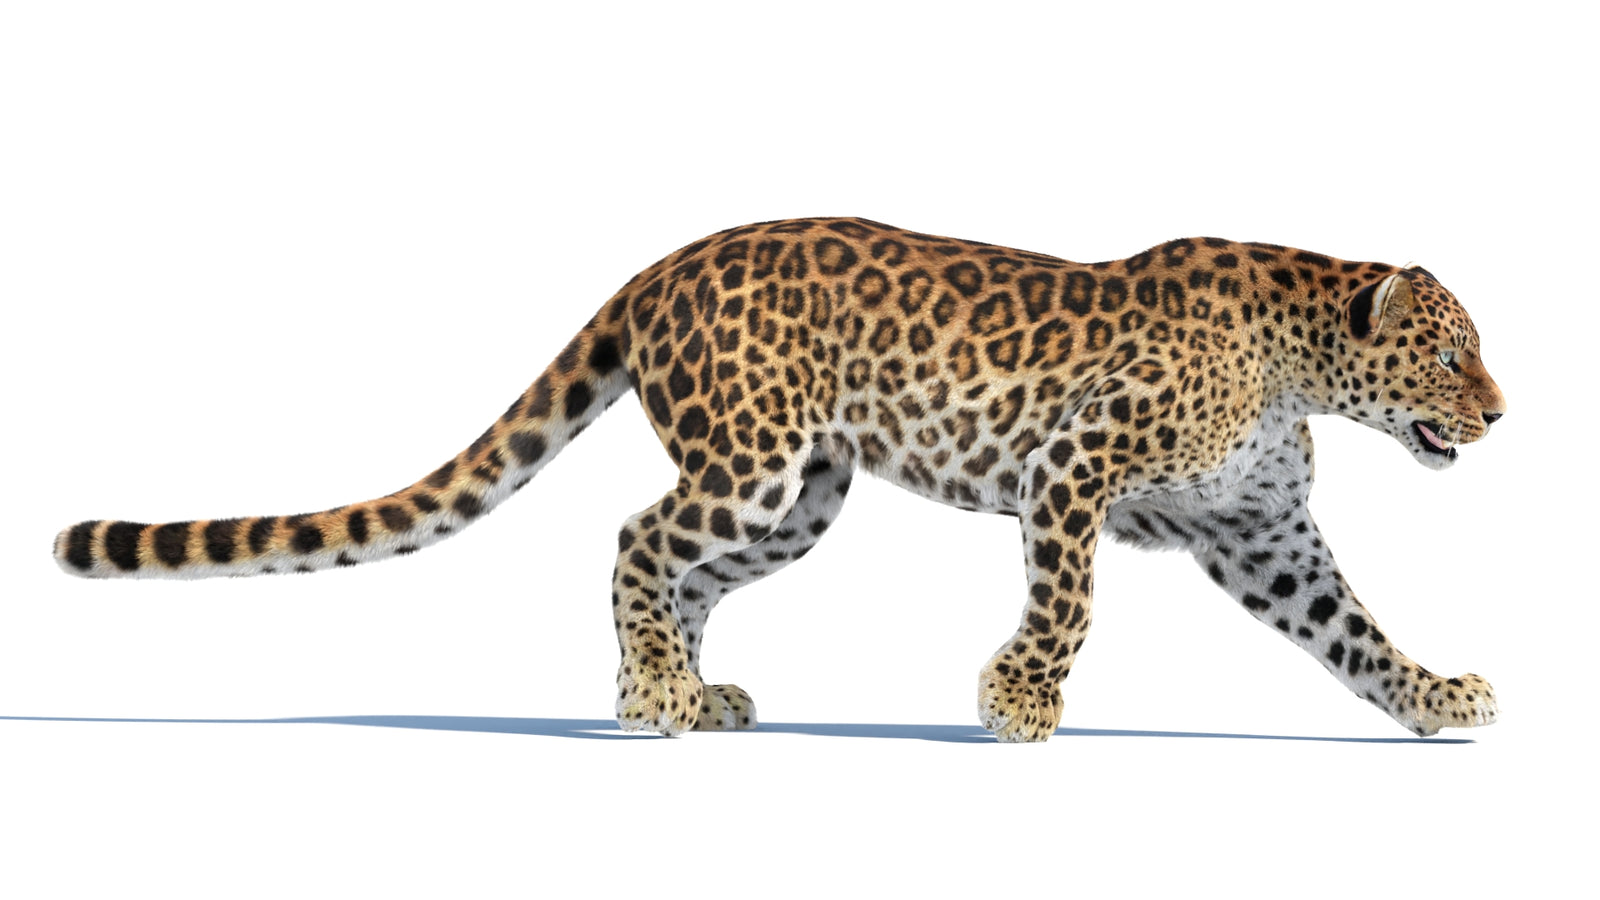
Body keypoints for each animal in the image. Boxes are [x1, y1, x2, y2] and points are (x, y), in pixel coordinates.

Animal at [54, 217, 1508, 742]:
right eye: (1450, 353)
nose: (1500, 413)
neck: (1300, 363)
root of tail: (663, 264)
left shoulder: (1262, 535)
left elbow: (1353, 630)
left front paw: (1437, 699)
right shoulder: (1072, 468)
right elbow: (1069, 605)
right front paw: (1018, 704)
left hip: (802, 496)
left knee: (686, 572)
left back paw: (693, 694)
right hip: (749, 464)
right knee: (636, 537)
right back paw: (651, 697)